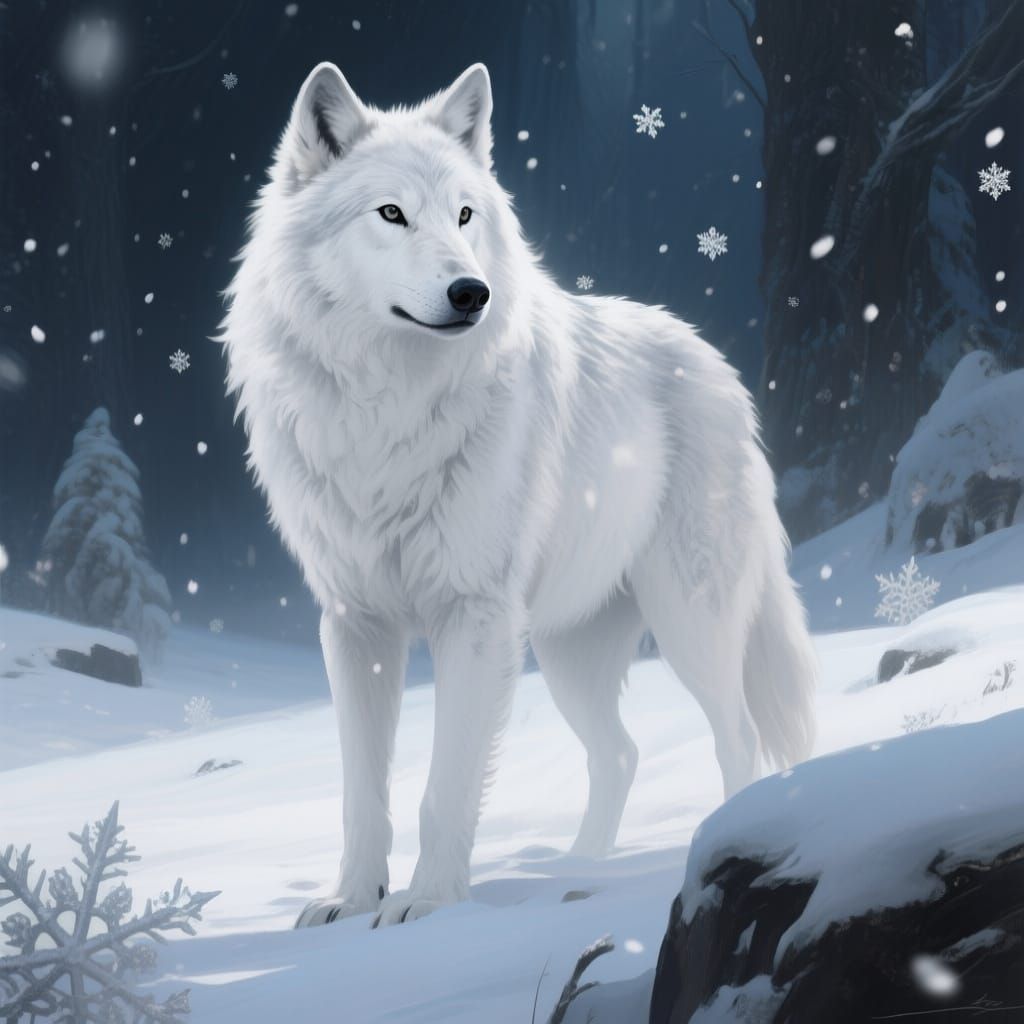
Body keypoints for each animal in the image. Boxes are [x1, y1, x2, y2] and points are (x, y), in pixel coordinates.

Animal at [220, 62, 817, 928]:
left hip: (688, 622)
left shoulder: (472, 618)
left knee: (736, 738)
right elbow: (363, 792)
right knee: (621, 753)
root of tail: (719, 366)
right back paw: (580, 868)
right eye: (392, 213)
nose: (471, 292)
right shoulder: (356, 625)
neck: (386, 409)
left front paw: (428, 906)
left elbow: (444, 788)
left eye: (465, 215)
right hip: (565, 649)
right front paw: (350, 900)